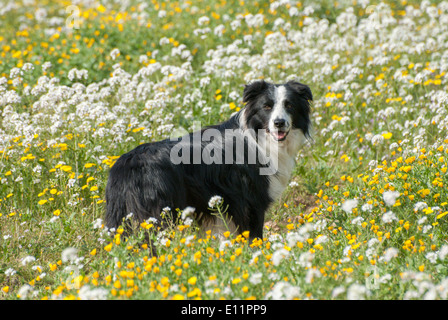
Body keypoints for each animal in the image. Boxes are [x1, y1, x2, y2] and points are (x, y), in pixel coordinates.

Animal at [105, 80, 312, 242]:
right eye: (267, 107)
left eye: (289, 106)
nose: (279, 123)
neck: (259, 135)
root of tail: (125, 164)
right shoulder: (251, 201)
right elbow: (254, 236)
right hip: (157, 211)